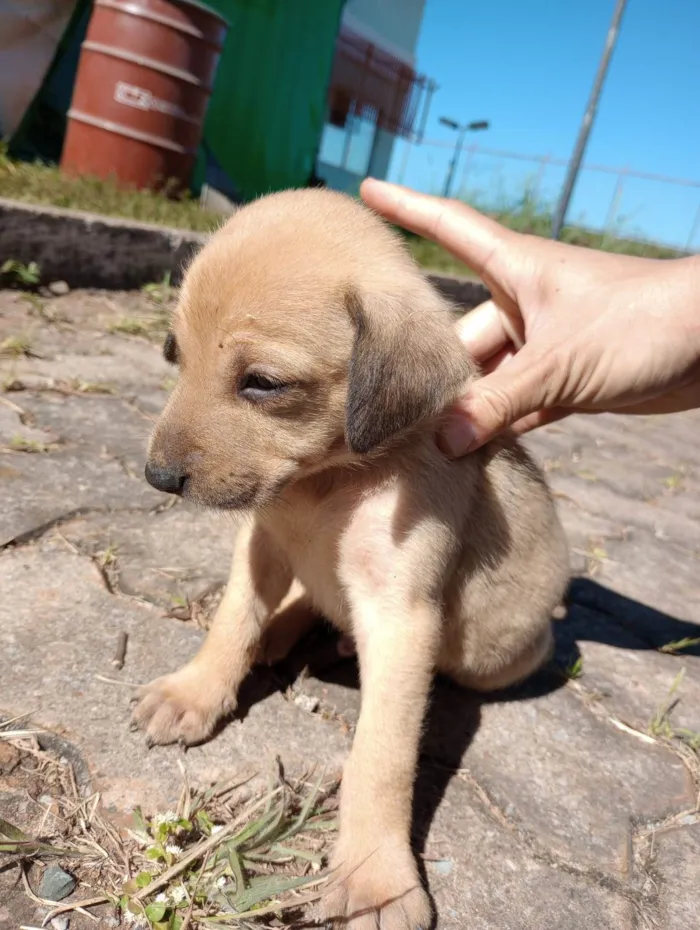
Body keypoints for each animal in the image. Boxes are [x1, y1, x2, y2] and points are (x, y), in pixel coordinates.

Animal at [135, 185, 568, 924]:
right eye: (175, 355)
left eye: (262, 382)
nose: (157, 478)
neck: (327, 483)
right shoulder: (262, 544)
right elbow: (231, 623)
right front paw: (195, 691)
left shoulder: (399, 615)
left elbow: (381, 757)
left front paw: (375, 878)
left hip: (504, 661)